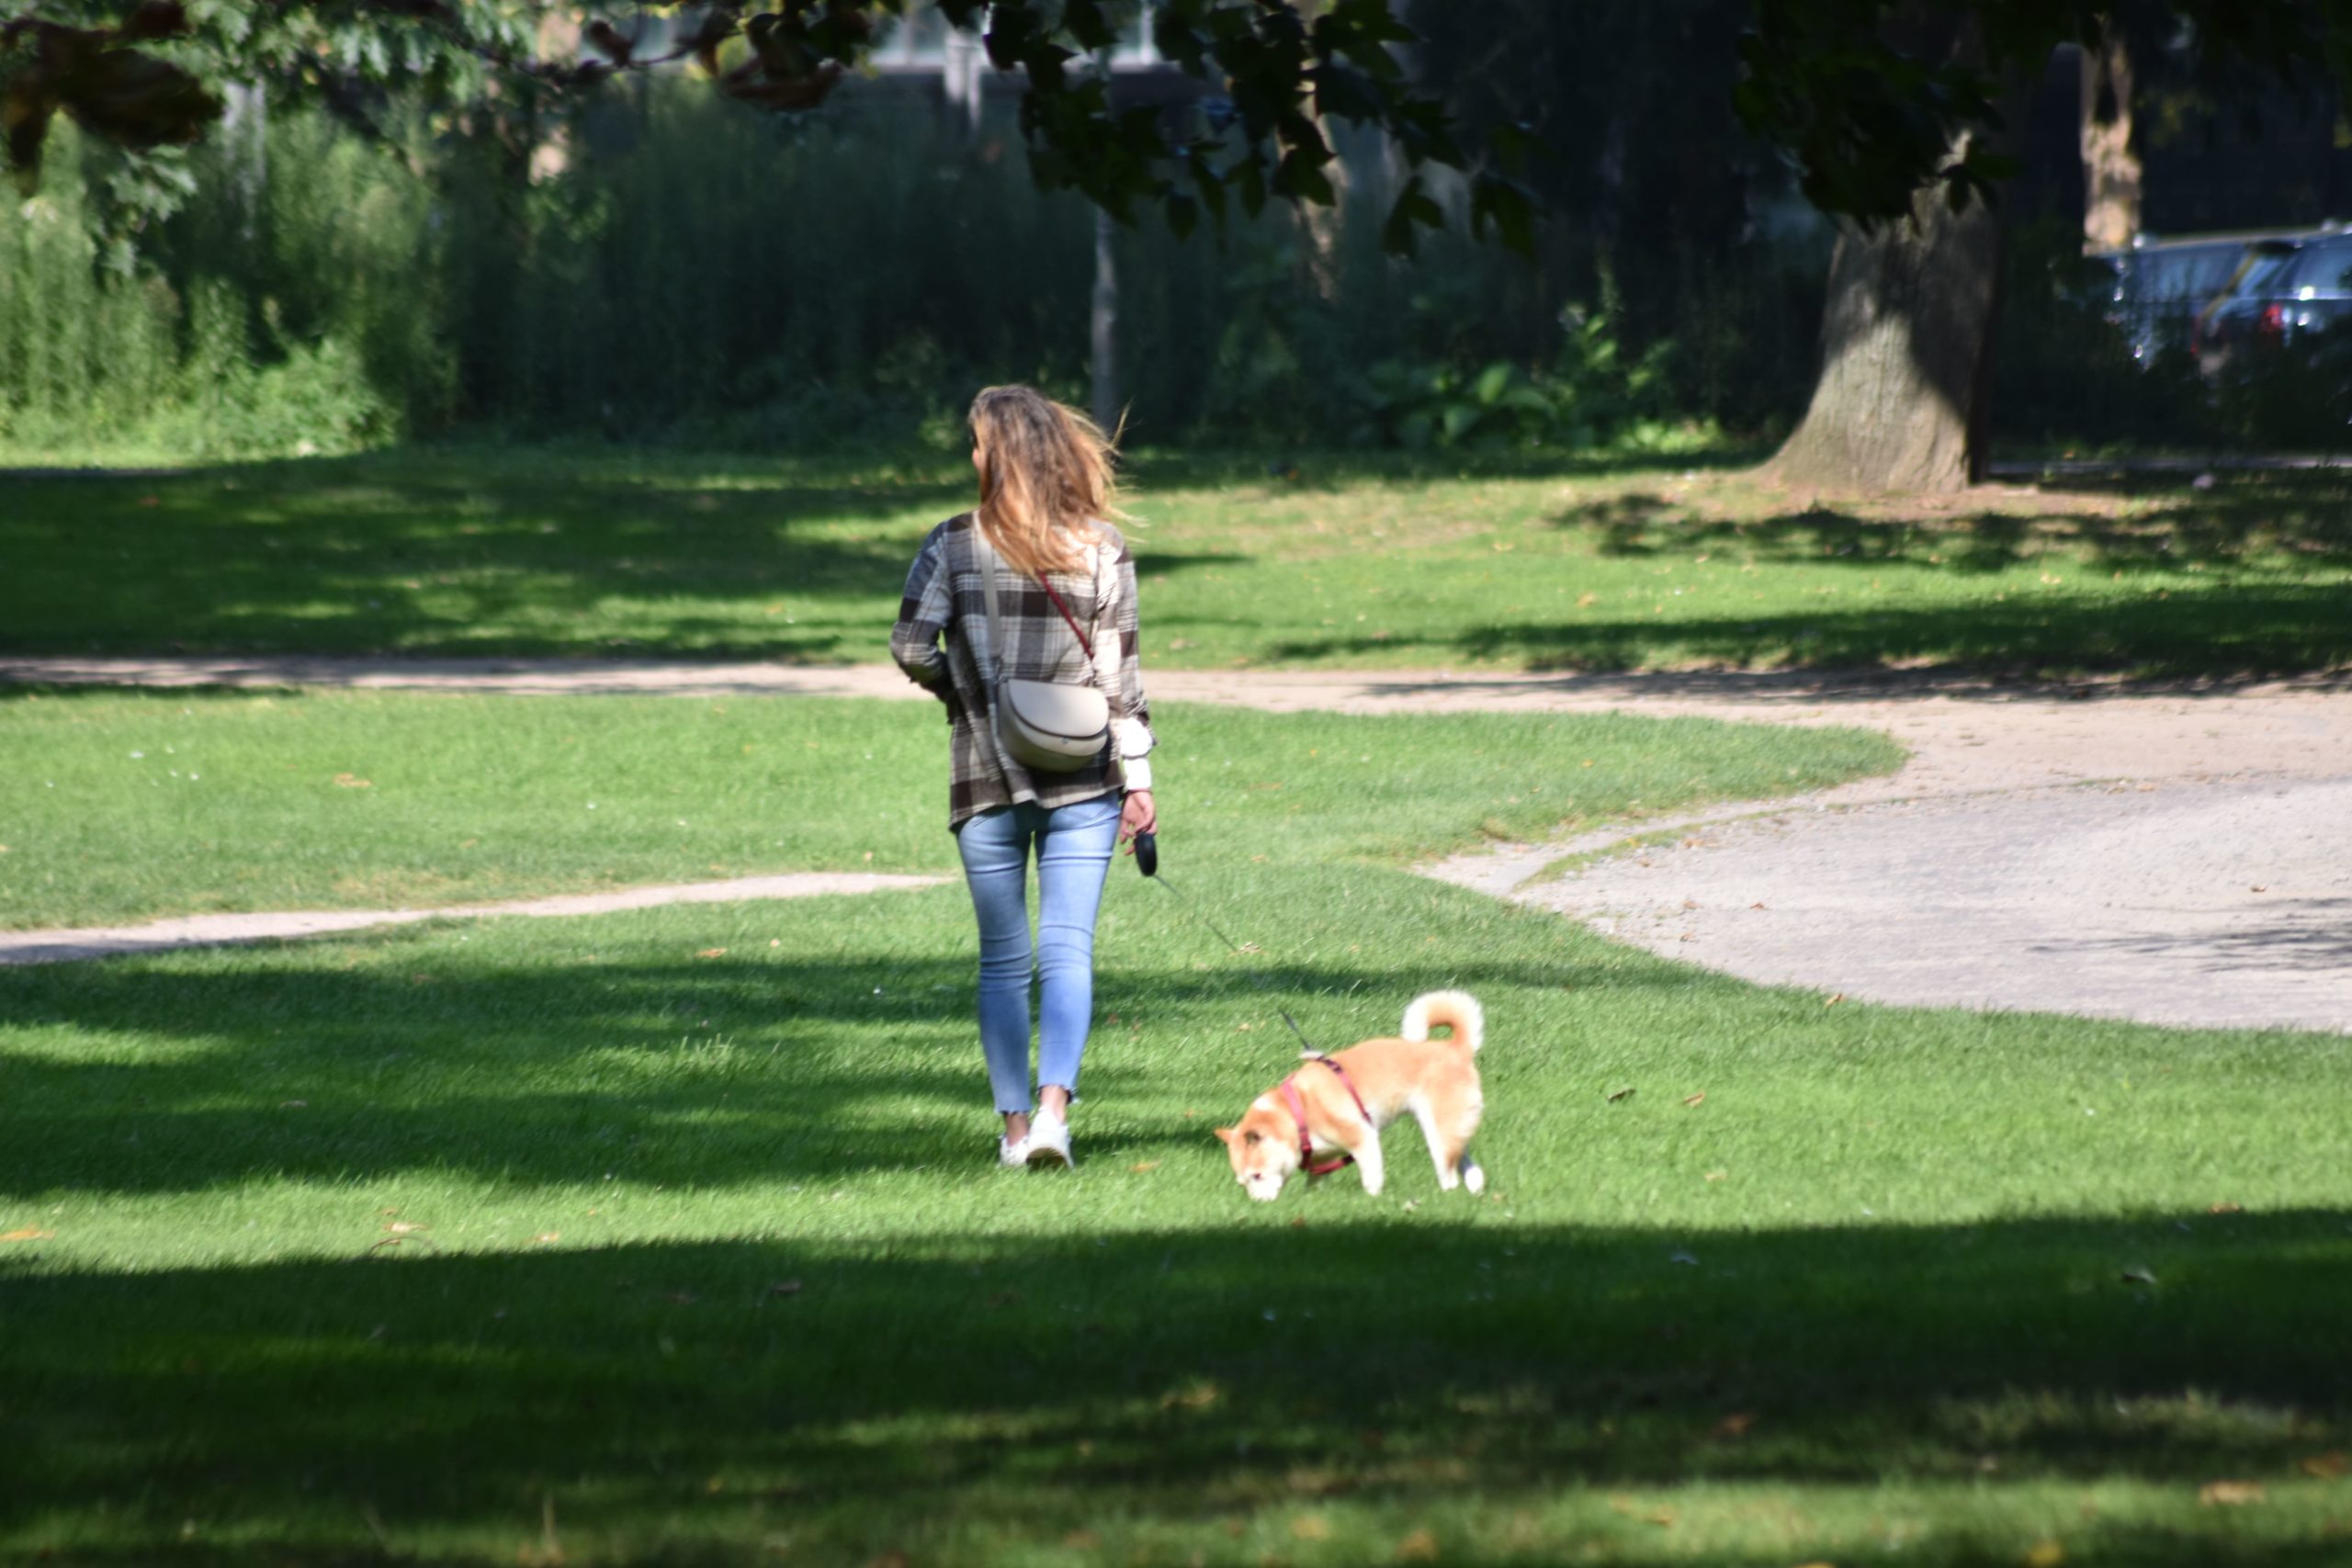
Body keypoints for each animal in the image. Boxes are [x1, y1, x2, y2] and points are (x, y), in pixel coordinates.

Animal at [1213, 991, 1486, 1203]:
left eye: (1257, 1175)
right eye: (1243, 1182)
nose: (1259, 1203)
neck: (1297, 1112)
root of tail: (1456, 1048)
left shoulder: (1363, 1137)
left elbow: (1371, 1178)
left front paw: (1371, 1200)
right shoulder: (1322, 1156)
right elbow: (1315, 1182)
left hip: (1438, 1134)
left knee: (1449, 1173)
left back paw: (1447, 1195)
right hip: (1449, 1127)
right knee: (1468, 1164)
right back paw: (1474, 1190)